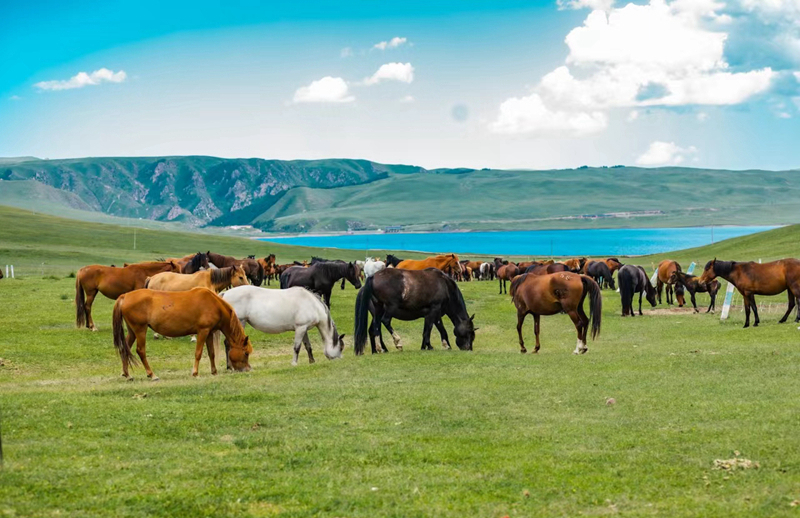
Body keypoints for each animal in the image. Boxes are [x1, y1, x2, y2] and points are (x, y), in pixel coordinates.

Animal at [112, 287, 253, 379]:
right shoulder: (203, 331)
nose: (248, 369)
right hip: (140, 330)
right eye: (246, 353)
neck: (214, 305)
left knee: (124, 349)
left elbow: (211, 353)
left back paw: (126, 374)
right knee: (141, 351)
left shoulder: (209, 333)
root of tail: (125, 296)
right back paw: (151, 374)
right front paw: (195, 373)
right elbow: (198, 353)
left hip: (132, 331)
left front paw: (214, 371)